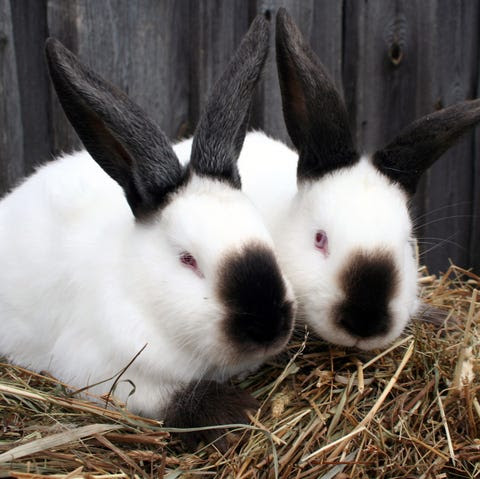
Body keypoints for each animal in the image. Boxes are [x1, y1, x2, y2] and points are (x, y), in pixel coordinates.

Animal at [0, 15, 296, 446]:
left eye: (267, 238)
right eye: (188, 260)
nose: (269, 325)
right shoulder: (106, 372)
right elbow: (169, 398)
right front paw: (237, 411)